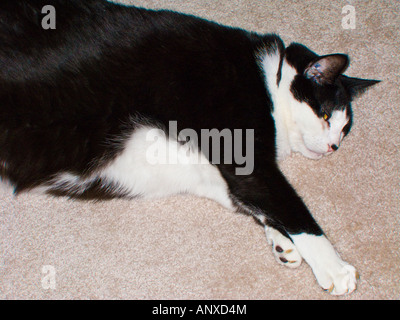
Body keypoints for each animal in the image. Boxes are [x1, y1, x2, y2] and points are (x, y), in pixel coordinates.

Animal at [0, 0, 380, 296]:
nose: (334, 146)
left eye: (345, 129)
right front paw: (334, 267)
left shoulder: (211, 172)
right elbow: (289, 204)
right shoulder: (245, 157)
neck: (268, 81)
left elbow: (251, 200)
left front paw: (281, 241)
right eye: (326, 114)